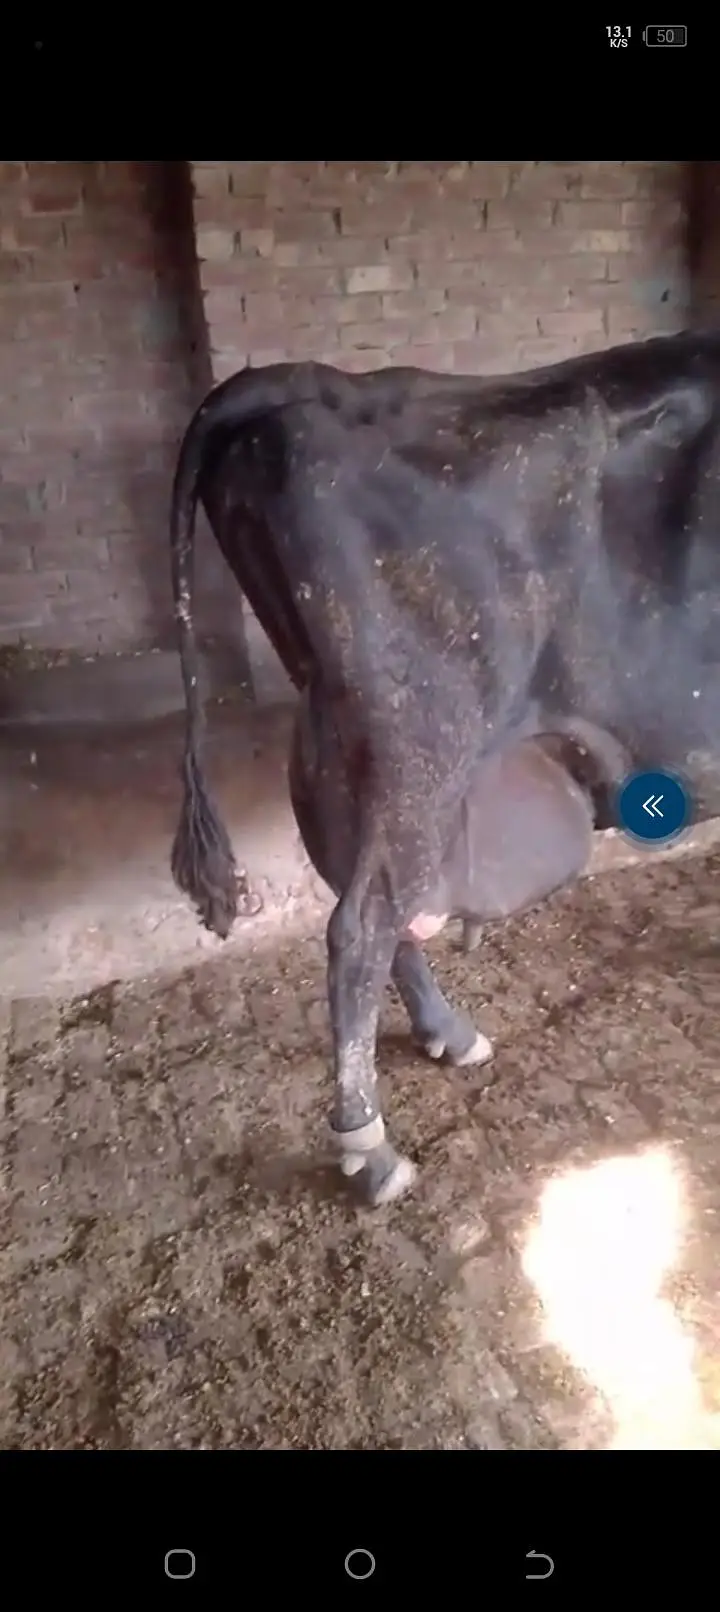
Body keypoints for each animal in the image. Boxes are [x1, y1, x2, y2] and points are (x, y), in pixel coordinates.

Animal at [169, 332, 720, 1207]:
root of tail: (313, 381)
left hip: (351, 741)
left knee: (374, 902)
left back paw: (448, 1035)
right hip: (423, 743)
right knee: (361, 925)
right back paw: (370, 1149)